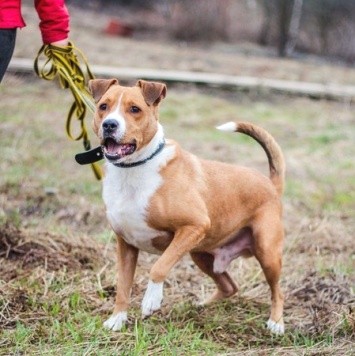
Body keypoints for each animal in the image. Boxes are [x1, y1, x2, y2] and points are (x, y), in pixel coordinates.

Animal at [88, 78, 286, 334]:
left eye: (134, 109)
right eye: (103, 106)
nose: (109, 124)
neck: (135, 168)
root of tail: (271, 184)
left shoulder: (194, 226)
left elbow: (159, 267)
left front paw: (151, 300)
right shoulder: (126, 245)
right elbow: (123, 285)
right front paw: (117, 319)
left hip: (267, 252)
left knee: (278, 291)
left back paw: (276, 323)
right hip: (201, 255)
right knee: (229, 286)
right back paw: (199, 307)